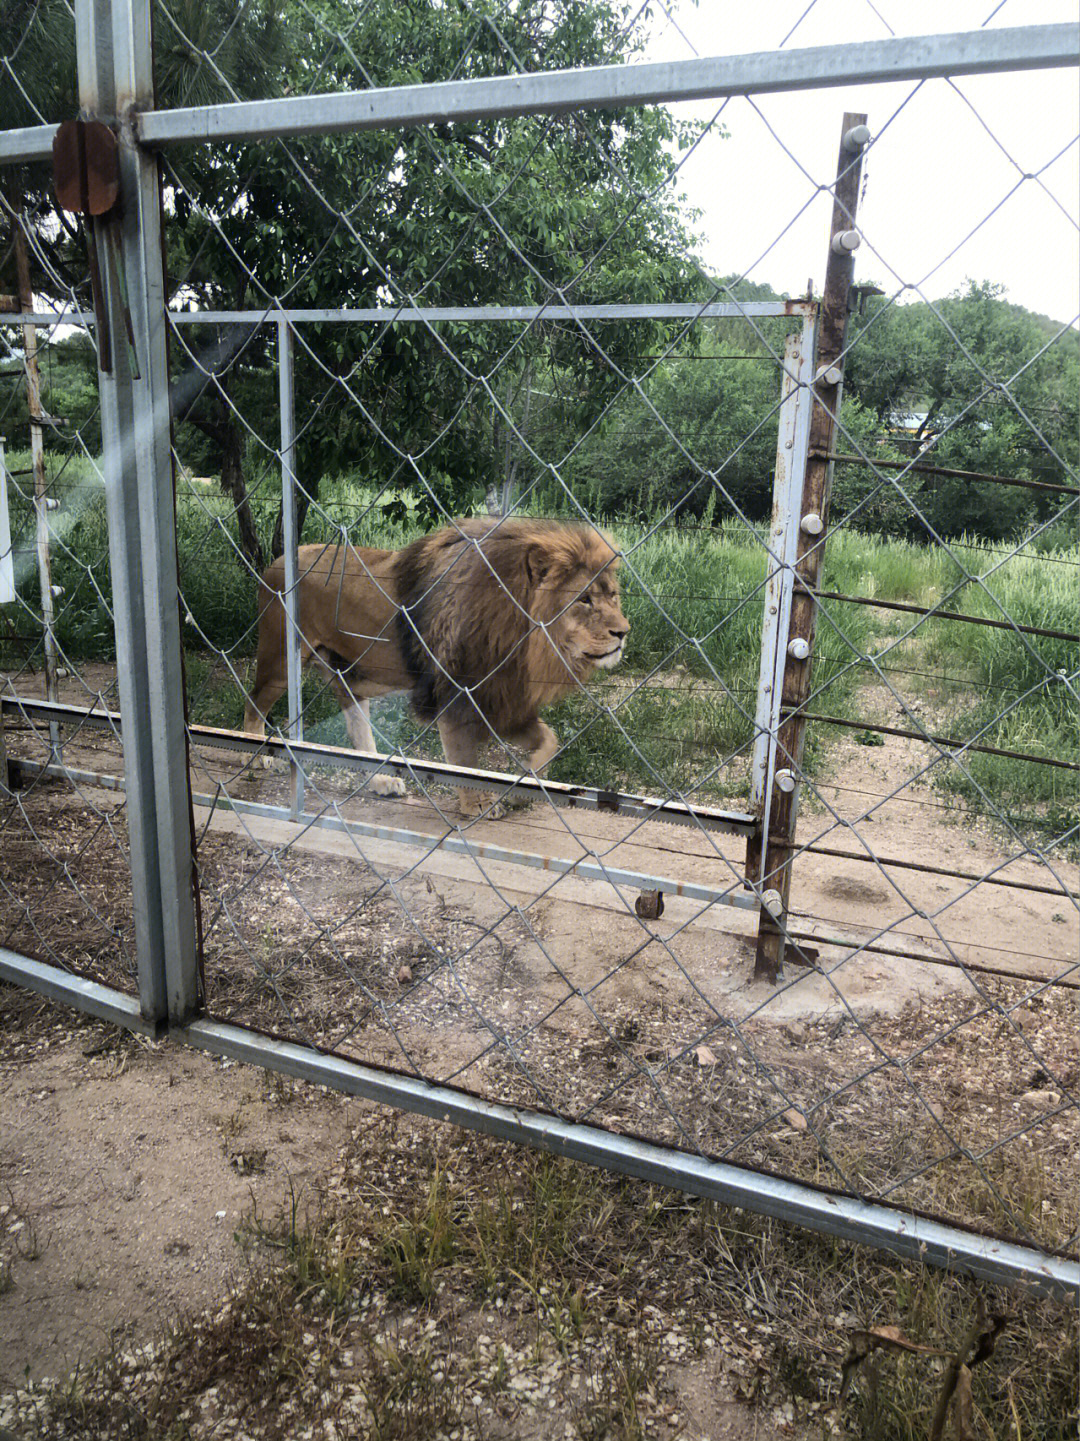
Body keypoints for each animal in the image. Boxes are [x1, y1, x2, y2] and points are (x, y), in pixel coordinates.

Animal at [240, 518, 628, 818]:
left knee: (356, 727)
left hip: (350, 672)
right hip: (281, 661)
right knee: (254, 702)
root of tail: (276, 559)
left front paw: (522, 790)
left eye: (613, 595)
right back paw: (253, 757)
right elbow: (464, 762)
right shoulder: (457, 694)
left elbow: (551, 740)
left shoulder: (502, 699)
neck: (520, 635)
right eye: (584, 599)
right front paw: (476, 805)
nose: (623, 632)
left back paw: (381, 782)